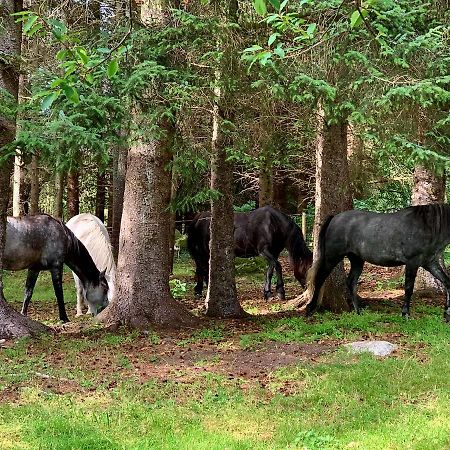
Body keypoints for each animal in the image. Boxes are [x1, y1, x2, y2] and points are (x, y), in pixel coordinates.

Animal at [306, 204, 450, 320]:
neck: (427, 226)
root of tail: (334, 218)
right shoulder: (412, 263)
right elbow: (409, 289)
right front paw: (405, 314)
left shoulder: (430, 263)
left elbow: (447, 283)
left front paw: (446, 315)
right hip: (332, 257)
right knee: (320, 278)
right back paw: (310, 309)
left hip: (357, 260)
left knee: (351, 282)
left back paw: (358, 312)